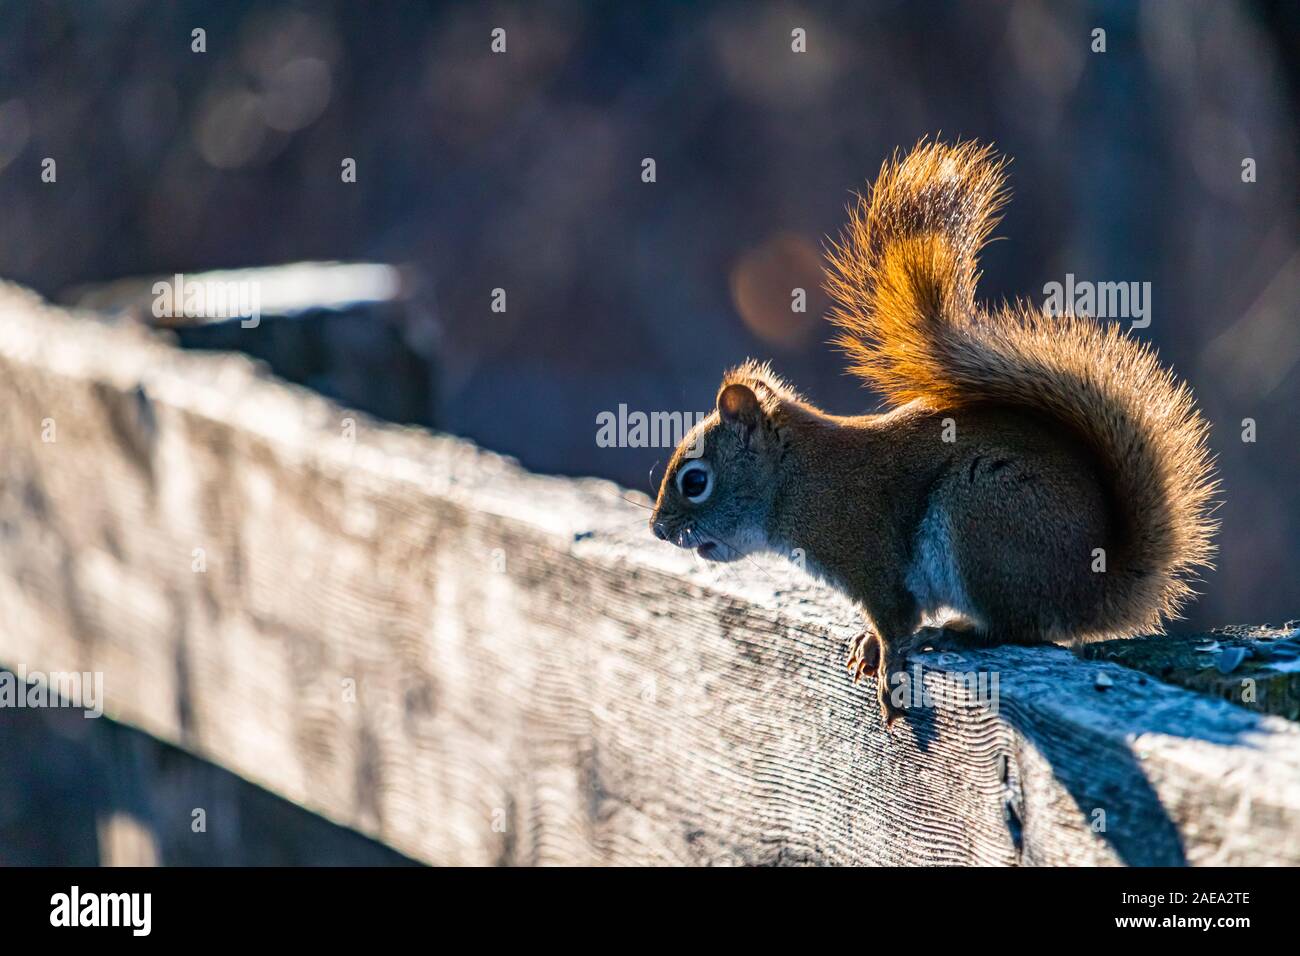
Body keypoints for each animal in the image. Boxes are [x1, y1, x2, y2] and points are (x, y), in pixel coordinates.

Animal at [650, 139, 1219, 727]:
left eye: (695, 481)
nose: (658, 530)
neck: (798, 480)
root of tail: (1096, 585)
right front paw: (869, 646)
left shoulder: (871, 558)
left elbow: (895, 620)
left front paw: (890, 667)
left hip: (981, 514)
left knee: (1020, 629)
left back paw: (957, 635)